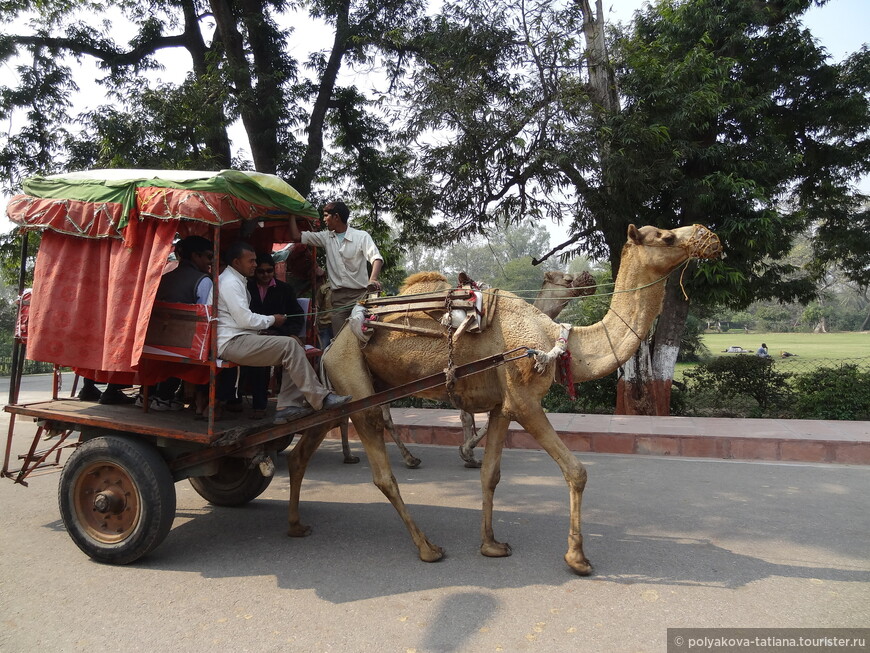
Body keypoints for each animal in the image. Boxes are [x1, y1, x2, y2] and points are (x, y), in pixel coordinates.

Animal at [338, 270, 596, 468]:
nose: (589, 278)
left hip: (381, 378)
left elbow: (474, 415)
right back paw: (405, 459)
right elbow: (469, 416)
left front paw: (468, 453)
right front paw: (468, 453)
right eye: (567, 279)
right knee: (374, 415)